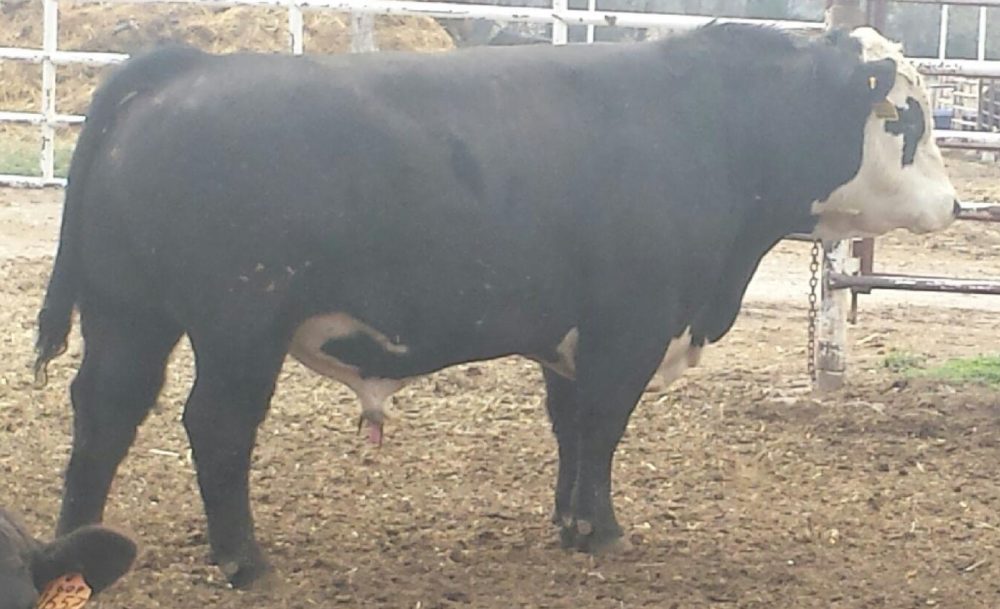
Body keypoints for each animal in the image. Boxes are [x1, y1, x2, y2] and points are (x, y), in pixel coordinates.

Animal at [33, 24, 957, 589]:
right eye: (906, 116)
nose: (952, 204)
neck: (710, 127)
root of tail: (187, 65)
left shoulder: (573, 337)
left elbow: (570, 428)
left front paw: (570, 522)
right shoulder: (629, 327)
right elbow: (602, 427)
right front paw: (600, 528)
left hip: (128, 314)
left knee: (103, 412)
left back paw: (75, 547)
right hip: (237, 326)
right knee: (214, 425)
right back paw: (243, 559)